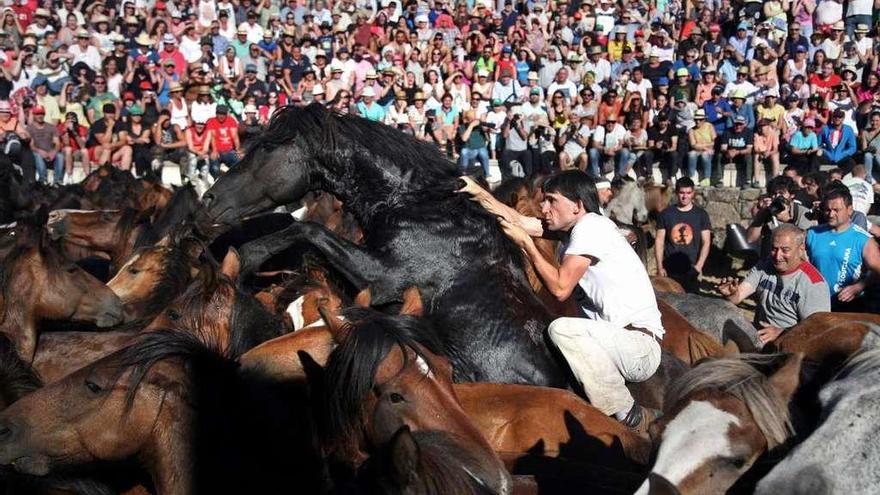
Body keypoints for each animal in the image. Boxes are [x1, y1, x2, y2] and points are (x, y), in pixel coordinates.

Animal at [198, 102, 564, 386]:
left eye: (267, 148)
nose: (208, 200)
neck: (415, 205)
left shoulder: (383, 278)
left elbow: (307, 228)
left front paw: (246, 259)